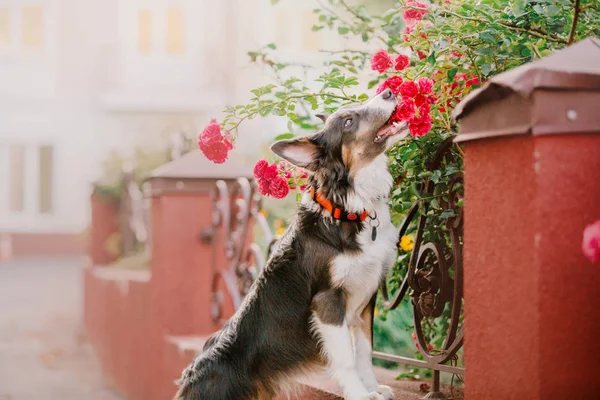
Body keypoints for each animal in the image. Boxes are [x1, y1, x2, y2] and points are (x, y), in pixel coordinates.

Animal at [173, 88, 408, 400]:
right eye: (348, 122)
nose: (389, 91)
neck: (348, 208)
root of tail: (188, 382)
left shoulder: (366, 295)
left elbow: (365, 352)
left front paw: (372, 388)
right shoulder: (327, 300)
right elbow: (347, 359)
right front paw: (360, 394)